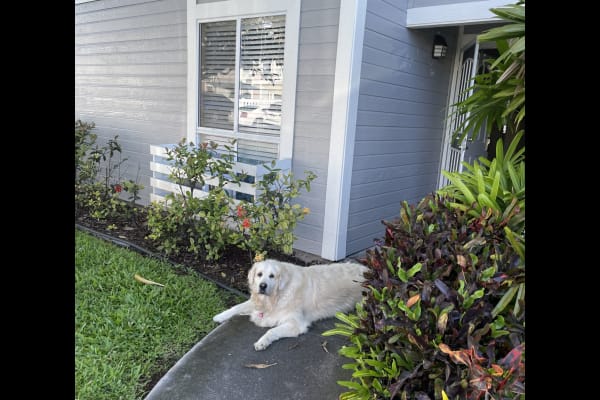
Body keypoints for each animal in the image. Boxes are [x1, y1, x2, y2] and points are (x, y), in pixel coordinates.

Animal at [213, 260, 368, 350]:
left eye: (272, 276)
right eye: (259, 274)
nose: (262, 286)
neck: (277, 296)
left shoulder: (296, 323)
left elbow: (271, 331)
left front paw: (262, 341)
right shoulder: (257, 303)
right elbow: (237, 306)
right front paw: (220, 316)